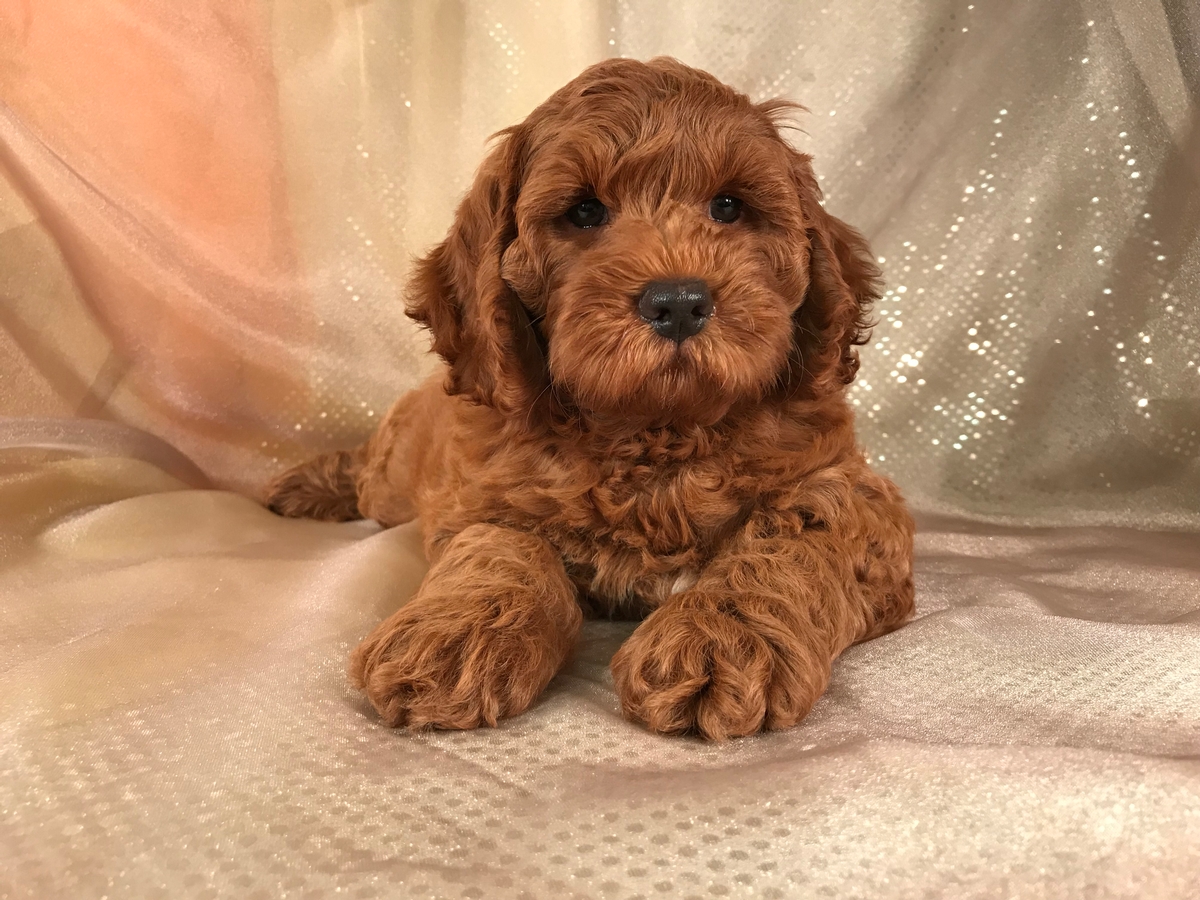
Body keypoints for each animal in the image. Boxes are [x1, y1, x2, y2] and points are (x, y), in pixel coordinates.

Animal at [267, 56, 912, 739]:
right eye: (584, 213)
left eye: (729, 206)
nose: (678, 301)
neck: (655, 432)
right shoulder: (483, 496)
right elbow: (501, 547)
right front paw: (452, 637)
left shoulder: (854, 492)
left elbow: (794, 537)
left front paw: (720, 637)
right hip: (393, 477)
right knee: (365, 471)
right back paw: (303, 486)